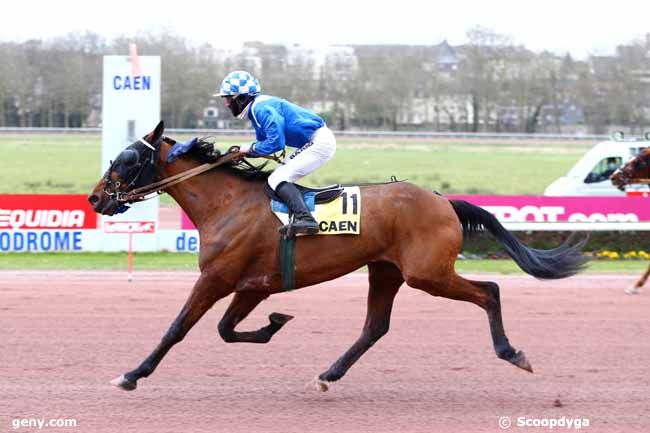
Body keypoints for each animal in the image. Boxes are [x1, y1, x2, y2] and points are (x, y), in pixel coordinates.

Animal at [87, 120, 588, 392]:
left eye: (126, 159)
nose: (96, 198)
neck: (226, 203)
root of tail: (443, 200)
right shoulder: (253, 285)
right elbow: (227, 330)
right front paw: (275, 324)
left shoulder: (216, 279)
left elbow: (178, 328)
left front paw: (132, 374)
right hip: (385, 271)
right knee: (375, 327)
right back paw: (329, 373)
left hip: (427, 273)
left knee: (489, 291)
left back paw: (512, 352)